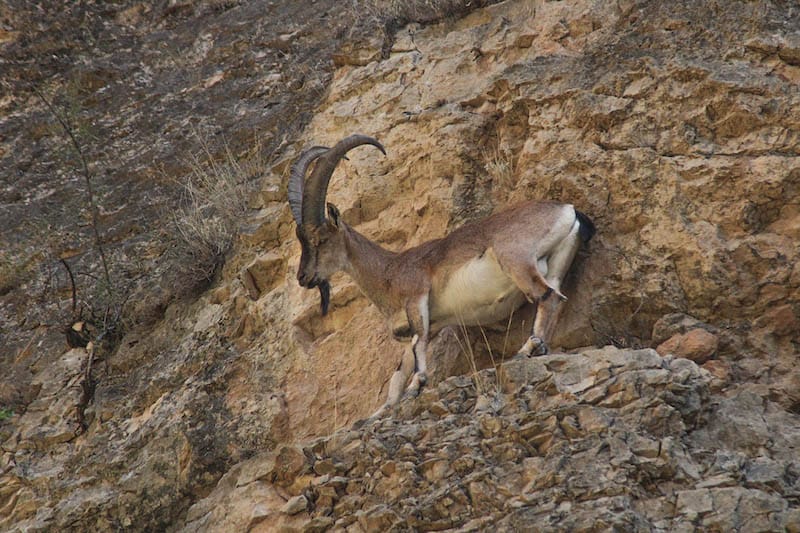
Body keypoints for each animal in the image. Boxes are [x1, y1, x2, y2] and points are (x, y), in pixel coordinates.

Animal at [290, 135, 592, 418]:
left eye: (320, 239)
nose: (303, 277)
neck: (389, 271)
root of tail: (569, 210)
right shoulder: (430, 321)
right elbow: (399, 371)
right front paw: (377, 413)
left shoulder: (416, 297)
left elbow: (417, 346)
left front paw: (417, 386)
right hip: (557, 263)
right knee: (557, 297)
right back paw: (542, 347)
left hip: (516, 260)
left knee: (546, 296)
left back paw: (526, 349)